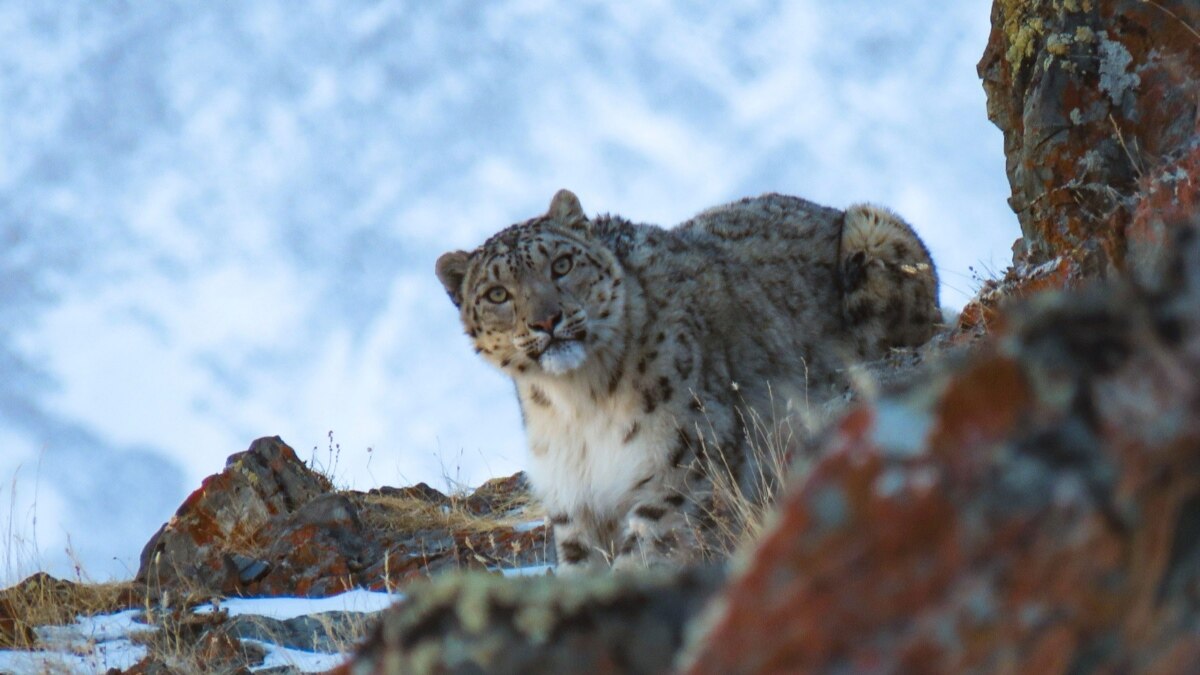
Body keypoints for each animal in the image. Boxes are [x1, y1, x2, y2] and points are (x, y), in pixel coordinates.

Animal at [436, 189, 940, 571]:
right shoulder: (573, 499)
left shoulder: (685, 462)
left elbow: (645, 550)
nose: (547, 320)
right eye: (496, 294)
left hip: (873, 228)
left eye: (561, 264)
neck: (578, 403)